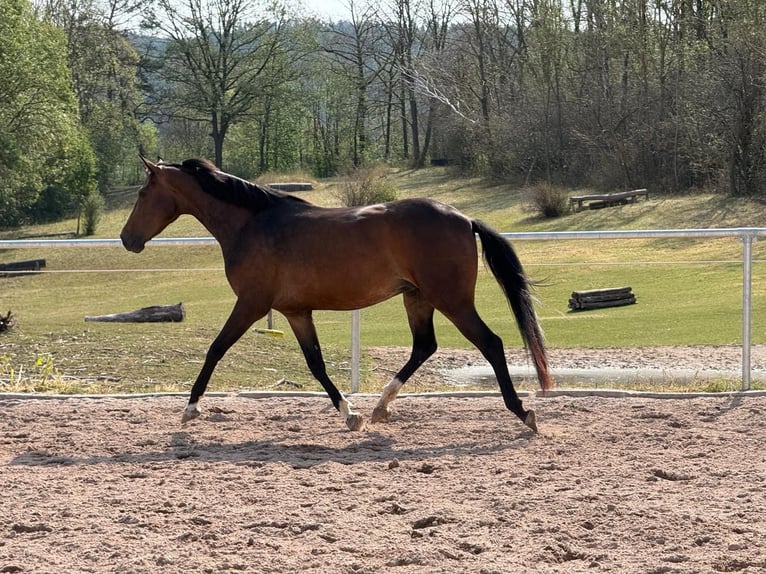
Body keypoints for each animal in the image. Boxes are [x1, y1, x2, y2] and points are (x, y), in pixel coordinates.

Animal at [120, 157, 553, 433]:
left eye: (142, 193)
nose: (127, 239)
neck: (253, 224)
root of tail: (465, 218)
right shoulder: (295, 312)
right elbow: (316, 365)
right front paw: (350, 414)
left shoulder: (251, 304)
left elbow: (215, 349)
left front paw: (189, 410)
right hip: (417, 298)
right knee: (424, 347)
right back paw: (379, 408)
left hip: (451, 299)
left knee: (491, 343)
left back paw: (522, 412)